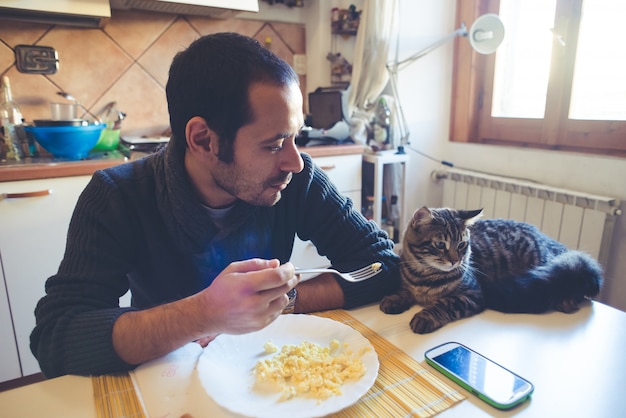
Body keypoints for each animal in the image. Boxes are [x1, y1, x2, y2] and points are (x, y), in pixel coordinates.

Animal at [378, 207, 604, 334]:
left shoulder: (472, 294)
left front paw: (425, 317)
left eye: (462, 245)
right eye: (440, 245)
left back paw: (567, 301)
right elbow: (402, 291)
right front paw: (394, 299)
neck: (425, 276)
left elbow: (443, 304)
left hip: (543, 265)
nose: (455, 261)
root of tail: (551, 241)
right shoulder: (407, 282)